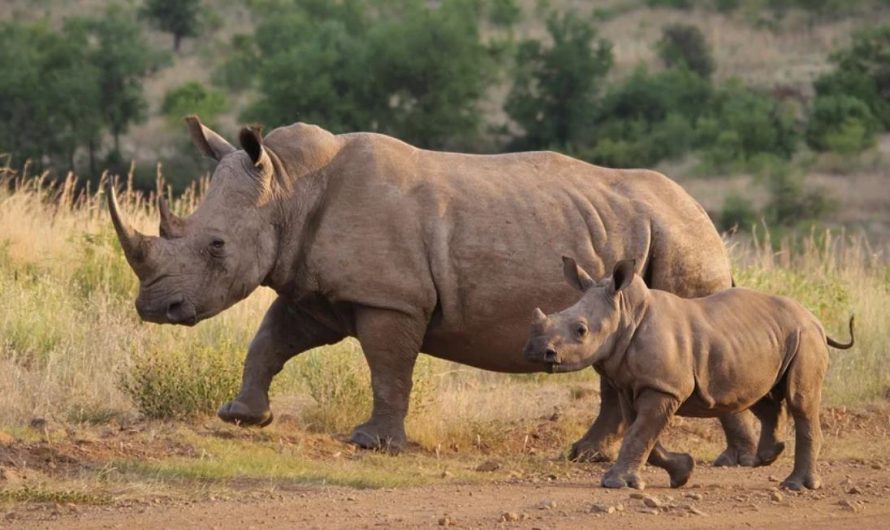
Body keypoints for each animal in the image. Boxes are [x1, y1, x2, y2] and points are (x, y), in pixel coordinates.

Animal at [108, 116, 760, 463]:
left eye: (216, 246)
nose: (154, 308)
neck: (288, 189)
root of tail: (703, 215)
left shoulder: (390, 298)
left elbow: (388, 369)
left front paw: (373, 444)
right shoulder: (314, 290)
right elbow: (270, 340)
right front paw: (242, 416)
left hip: (680, 242)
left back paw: (734, 459)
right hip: (642, 239)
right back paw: (595, 455)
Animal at [523, 257, 855, 490]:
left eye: (581, 330)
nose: (536, 351)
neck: (626, 313)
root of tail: (815, 319)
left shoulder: (663, 387)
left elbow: (639, 433)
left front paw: (614, 483)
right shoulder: (633, 385)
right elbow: (642, 434)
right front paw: (683, 472)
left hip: (805, 337)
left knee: (800, 401)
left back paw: (795, 485)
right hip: (768, 339)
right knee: (760, 395)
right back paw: (767, 457)